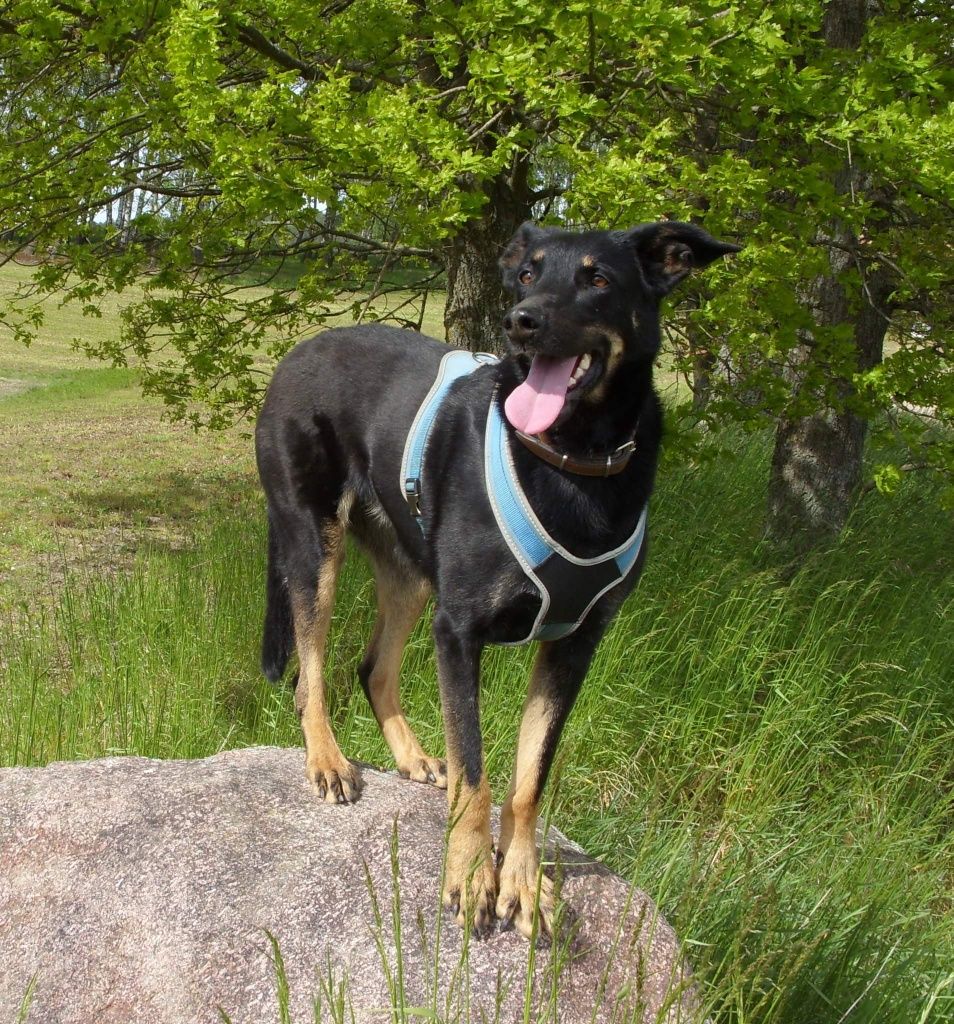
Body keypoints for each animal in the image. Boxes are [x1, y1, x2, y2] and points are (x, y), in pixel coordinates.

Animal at [256, 220, 741, 937]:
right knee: (309, 671)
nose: (521, 322)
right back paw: (328, 759)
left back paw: (410, 755)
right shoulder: (458, 632)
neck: (572, 458)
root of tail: (299, 351)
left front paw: (522, 878)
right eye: (528, 274)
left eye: (599, 279)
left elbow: (528, 777)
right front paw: (468, 874)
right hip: (315, 543)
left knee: (372, 667)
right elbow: (477, 770)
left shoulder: (573, 645)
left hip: (409, 570)